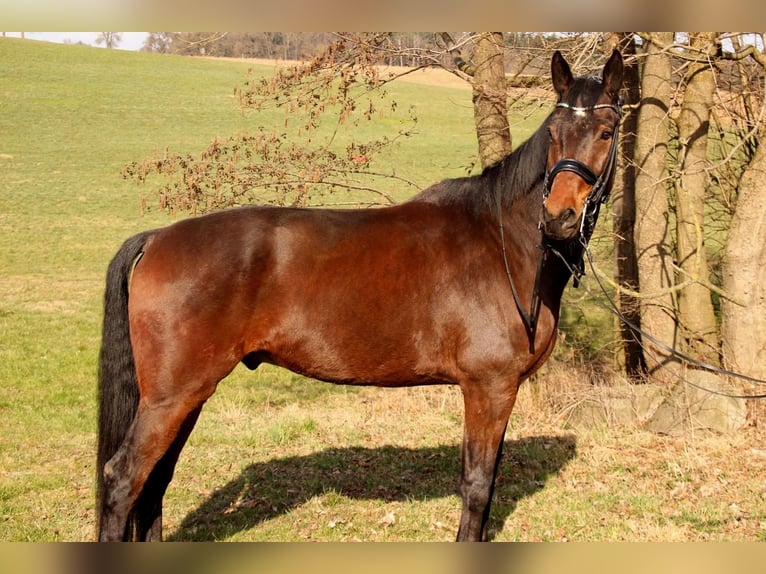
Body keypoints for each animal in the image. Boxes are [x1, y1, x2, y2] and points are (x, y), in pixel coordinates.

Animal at [96, 49, 623, 542]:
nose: (558, 216)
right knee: (124, 479)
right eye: (553, 132)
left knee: (155, 483)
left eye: (606, 132)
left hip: (186, 396)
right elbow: (477, 485)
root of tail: (158, 238)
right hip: (172, 397)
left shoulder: (498, 389)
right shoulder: (488, 387)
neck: (503, 242)